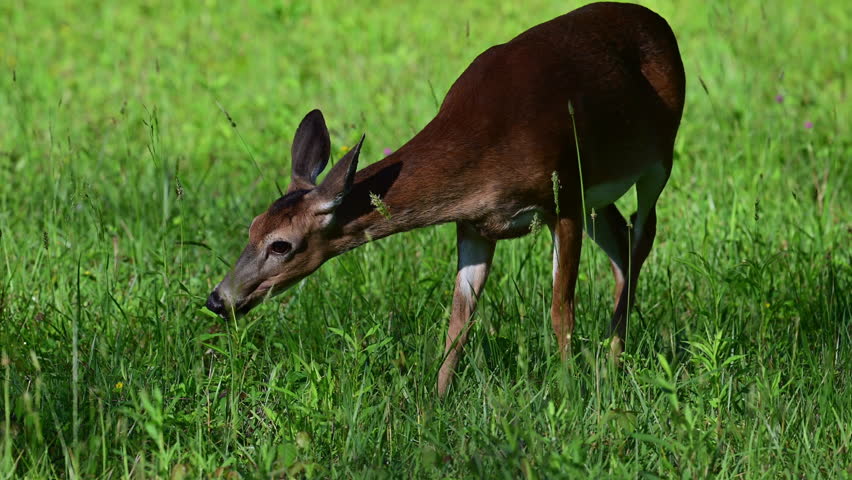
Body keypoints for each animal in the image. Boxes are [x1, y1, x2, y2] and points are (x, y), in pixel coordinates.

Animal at [205, 2, 685, 396]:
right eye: (252, 229)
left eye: (280, 245)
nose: (218, 299)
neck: (488, 145)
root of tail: (660, 22)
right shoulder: (474, 223)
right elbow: (459, 319)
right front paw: (434, 402)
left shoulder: (562, 197)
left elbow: (560, 310)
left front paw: (569, 392)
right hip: (597, 193)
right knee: (620, 239)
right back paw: (611, 358)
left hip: (657, 158)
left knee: (642, 235)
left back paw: (613, 359)